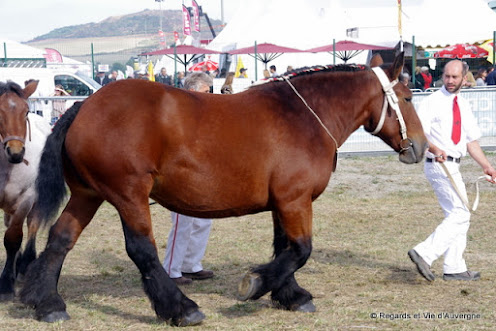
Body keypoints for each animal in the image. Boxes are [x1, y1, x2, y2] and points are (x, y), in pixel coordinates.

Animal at [20, 53, 426, 326]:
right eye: (407, 98)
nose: (420, 147)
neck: (303, 117)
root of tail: (85, 105)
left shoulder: (282, 203)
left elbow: (285, 248)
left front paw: (290, 294)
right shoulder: (295, 200)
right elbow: (300, 250)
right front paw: (257, 283)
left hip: (88, 195)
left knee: (60, 238)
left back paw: (48, 303)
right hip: (127, 194)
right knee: (142, 250)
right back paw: (180, 308)